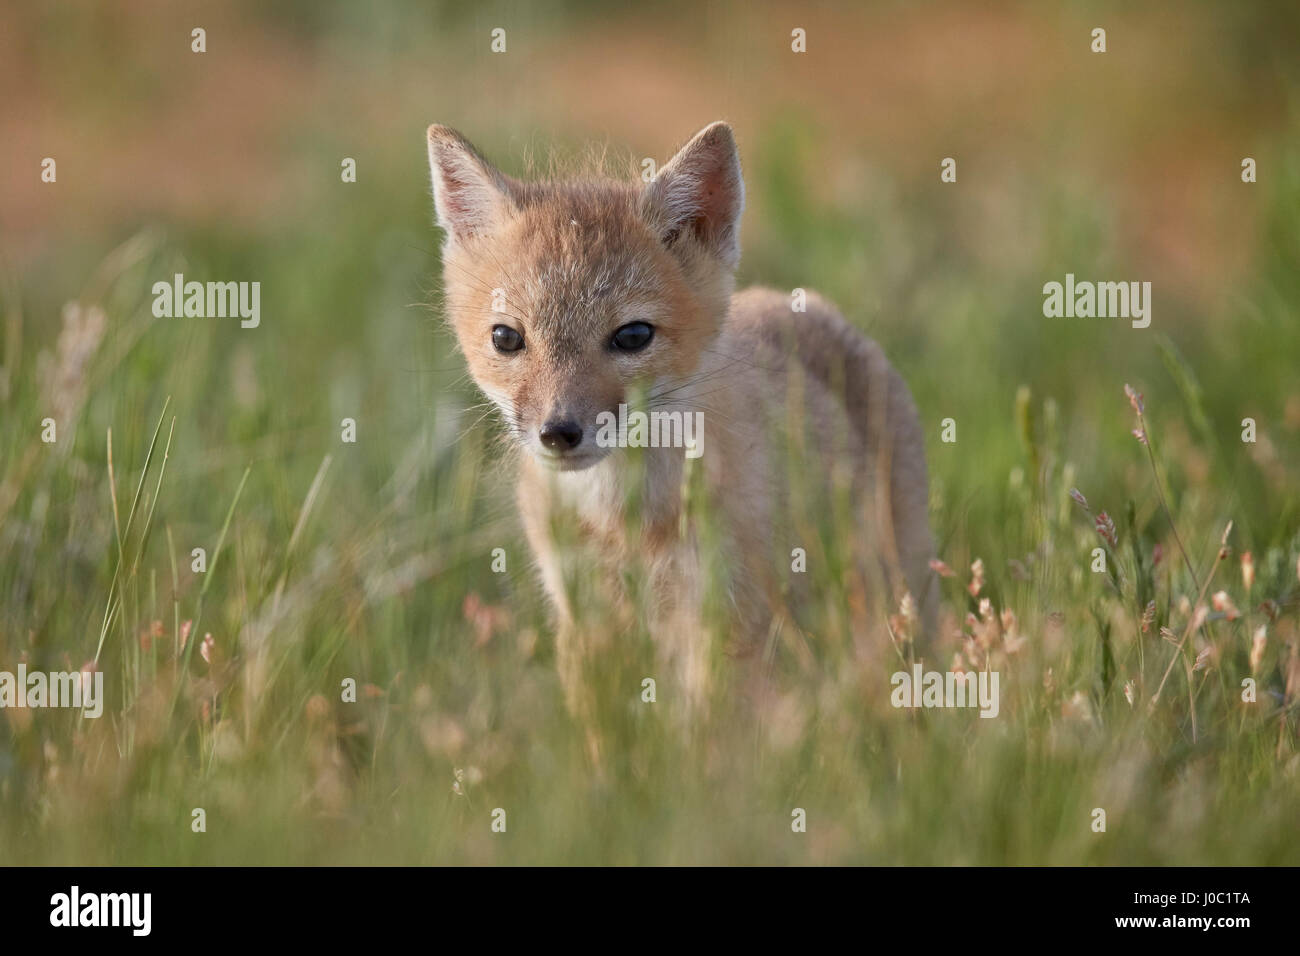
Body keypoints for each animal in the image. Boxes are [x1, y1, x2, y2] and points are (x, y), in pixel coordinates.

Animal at [426, 121, 935, 733]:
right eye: (506, 338)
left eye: (632, 336)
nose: (559, 432)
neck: (624, 523)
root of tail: (813, 306)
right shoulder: (583, 613)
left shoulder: (722, 616)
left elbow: (703, 738)